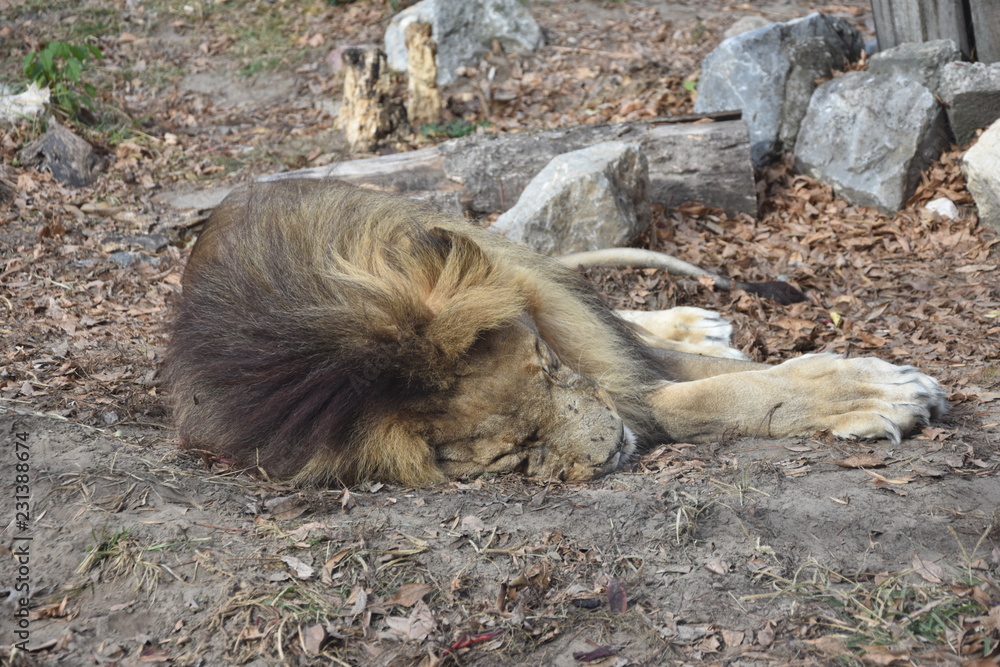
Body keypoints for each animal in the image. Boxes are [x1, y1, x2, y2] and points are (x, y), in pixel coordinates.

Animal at [164, 179, 948, 487]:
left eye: (543, 363)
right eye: (518, 450)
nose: (612, 451)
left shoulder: (577, 339)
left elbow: (681, 367)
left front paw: (875, 380)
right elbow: (707, 396)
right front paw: (870, 395)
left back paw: (695, 322)